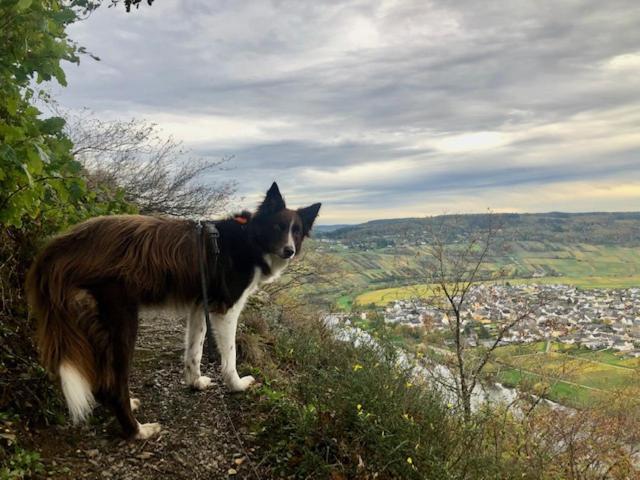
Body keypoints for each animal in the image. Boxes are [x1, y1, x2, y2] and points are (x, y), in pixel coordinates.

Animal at [26, 183, 320, 438]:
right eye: (278, 227)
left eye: (296, 231)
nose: (289, 250)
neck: (249, 239)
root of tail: (58, 247)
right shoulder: (226, 310)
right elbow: (231, 356)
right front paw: (237, 385)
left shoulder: (200, 305)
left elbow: (195, 350)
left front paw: (195, 382)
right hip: (122, 321)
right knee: (114, 385)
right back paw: (137, 431)